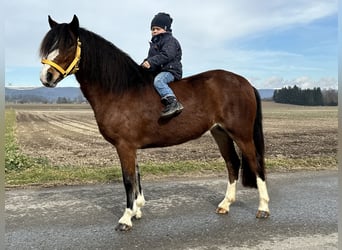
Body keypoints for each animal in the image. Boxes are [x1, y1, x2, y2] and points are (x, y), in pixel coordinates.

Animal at [39, 15, 270, 230]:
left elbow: (128, 180)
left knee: (255, 162)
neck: (120, 91)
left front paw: (126, 218)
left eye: (69, 44)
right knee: (232, 163)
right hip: (220, 132)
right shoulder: (130, 146)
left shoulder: (125, 146)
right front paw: (137, 210)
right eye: (49, 46)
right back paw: (225, 204)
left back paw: (263, 208)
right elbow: (137, 177)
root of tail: (246, 83)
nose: (46, 77)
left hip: (241, 134)